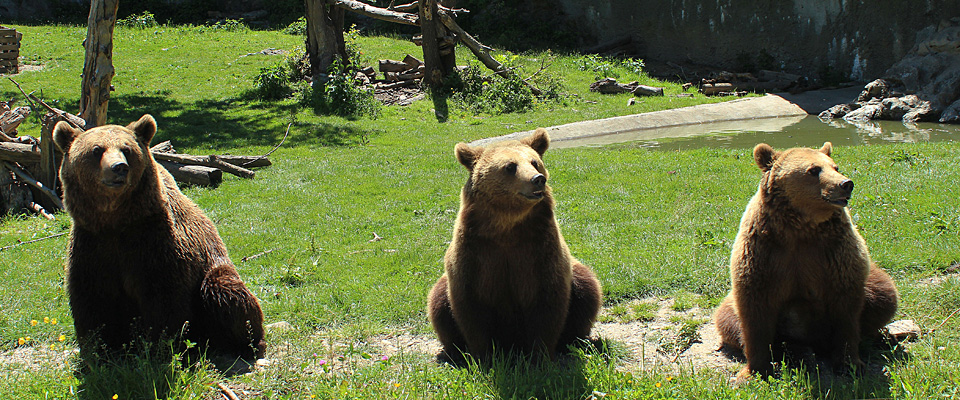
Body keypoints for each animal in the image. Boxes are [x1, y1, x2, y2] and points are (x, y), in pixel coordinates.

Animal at [54, 114, 268, 360]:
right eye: (96, 150)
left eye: (126, 149)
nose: (119, 168)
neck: (116, 219)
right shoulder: (93, 244)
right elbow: (92, 299)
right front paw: (100, 350)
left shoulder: (155, 243)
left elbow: (163, 298)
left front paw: (161, 346)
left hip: (213, 272)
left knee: (226, 292)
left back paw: (245, 343)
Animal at [428, 130, 600, 364]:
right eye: (510, 166)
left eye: (535, 162)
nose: (538, 180)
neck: (507, 228)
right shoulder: (475, 254)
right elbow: (471, 309)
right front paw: (484, 357)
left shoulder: (540, 251)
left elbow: (547, 305)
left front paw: (540, 356)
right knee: (438, 304)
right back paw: (452, 352)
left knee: (587, 290)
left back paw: (574, 342)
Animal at [712, 141, 900, 382]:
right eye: (813, 170)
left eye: (835, 166)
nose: (846, 184)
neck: (800, 227)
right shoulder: (764, 252)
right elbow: (755, 313)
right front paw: (754, 371)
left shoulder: (835, 254)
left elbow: (847, 313)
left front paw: (850, 364)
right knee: (727, 320)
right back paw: (792, 351)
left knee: (884, 295)